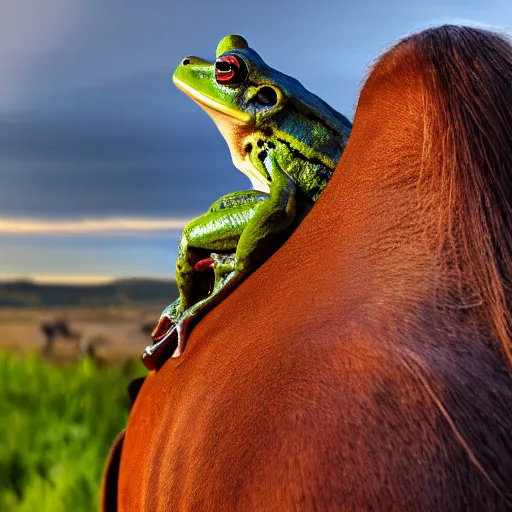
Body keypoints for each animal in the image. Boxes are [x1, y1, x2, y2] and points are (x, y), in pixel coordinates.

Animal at [103, 26, 512, 510]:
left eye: (225, 70)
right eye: (231, 44)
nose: (187, 62)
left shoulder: (279, 171)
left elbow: (274, 208)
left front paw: (219, 279)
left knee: (191, 235)